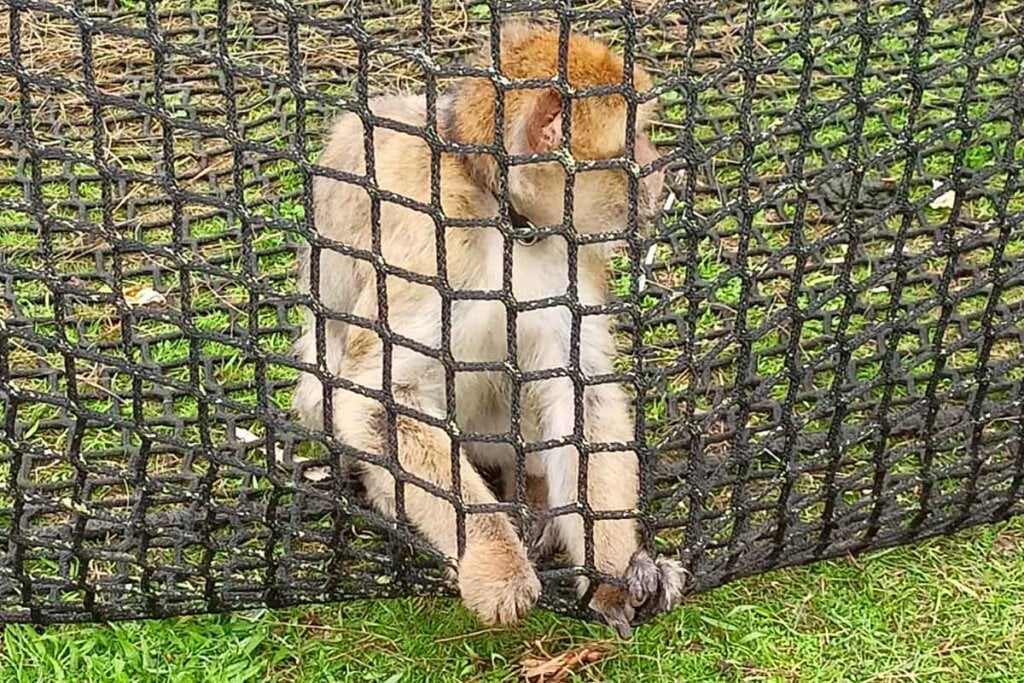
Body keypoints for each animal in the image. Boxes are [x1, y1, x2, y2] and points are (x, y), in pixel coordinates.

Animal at [292, 21, 684, 643]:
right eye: (636, 141)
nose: (661, 168)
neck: (506, 218)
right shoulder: (429, 244)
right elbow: (378, 402)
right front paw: (494, 562)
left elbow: (579, 396)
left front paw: (615, 570)